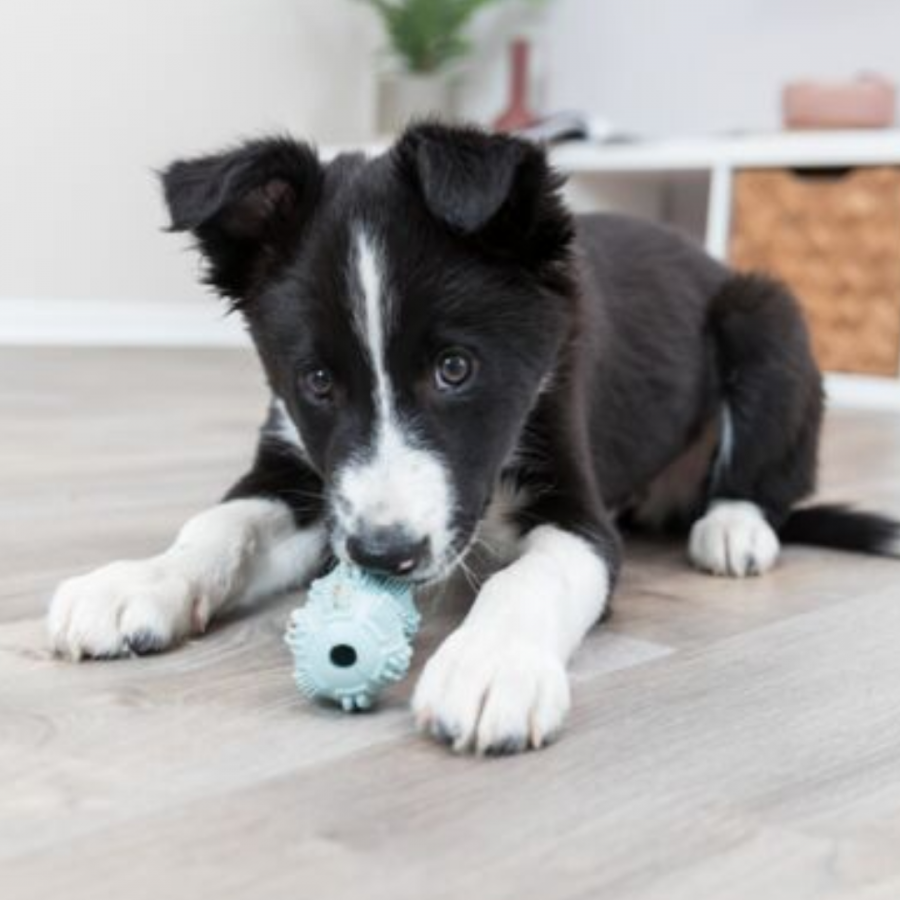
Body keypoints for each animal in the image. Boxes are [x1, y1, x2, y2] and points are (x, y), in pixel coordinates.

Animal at [49, 123, 900, 756]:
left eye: (456, 368)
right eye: (317, 381)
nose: (385, 557)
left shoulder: (578, 506)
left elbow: (528, 579)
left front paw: (490, 666)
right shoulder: (302, 473)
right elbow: (219, 525)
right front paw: (135, 583)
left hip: (767, 319)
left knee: (764, 480)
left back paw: (732, 529)